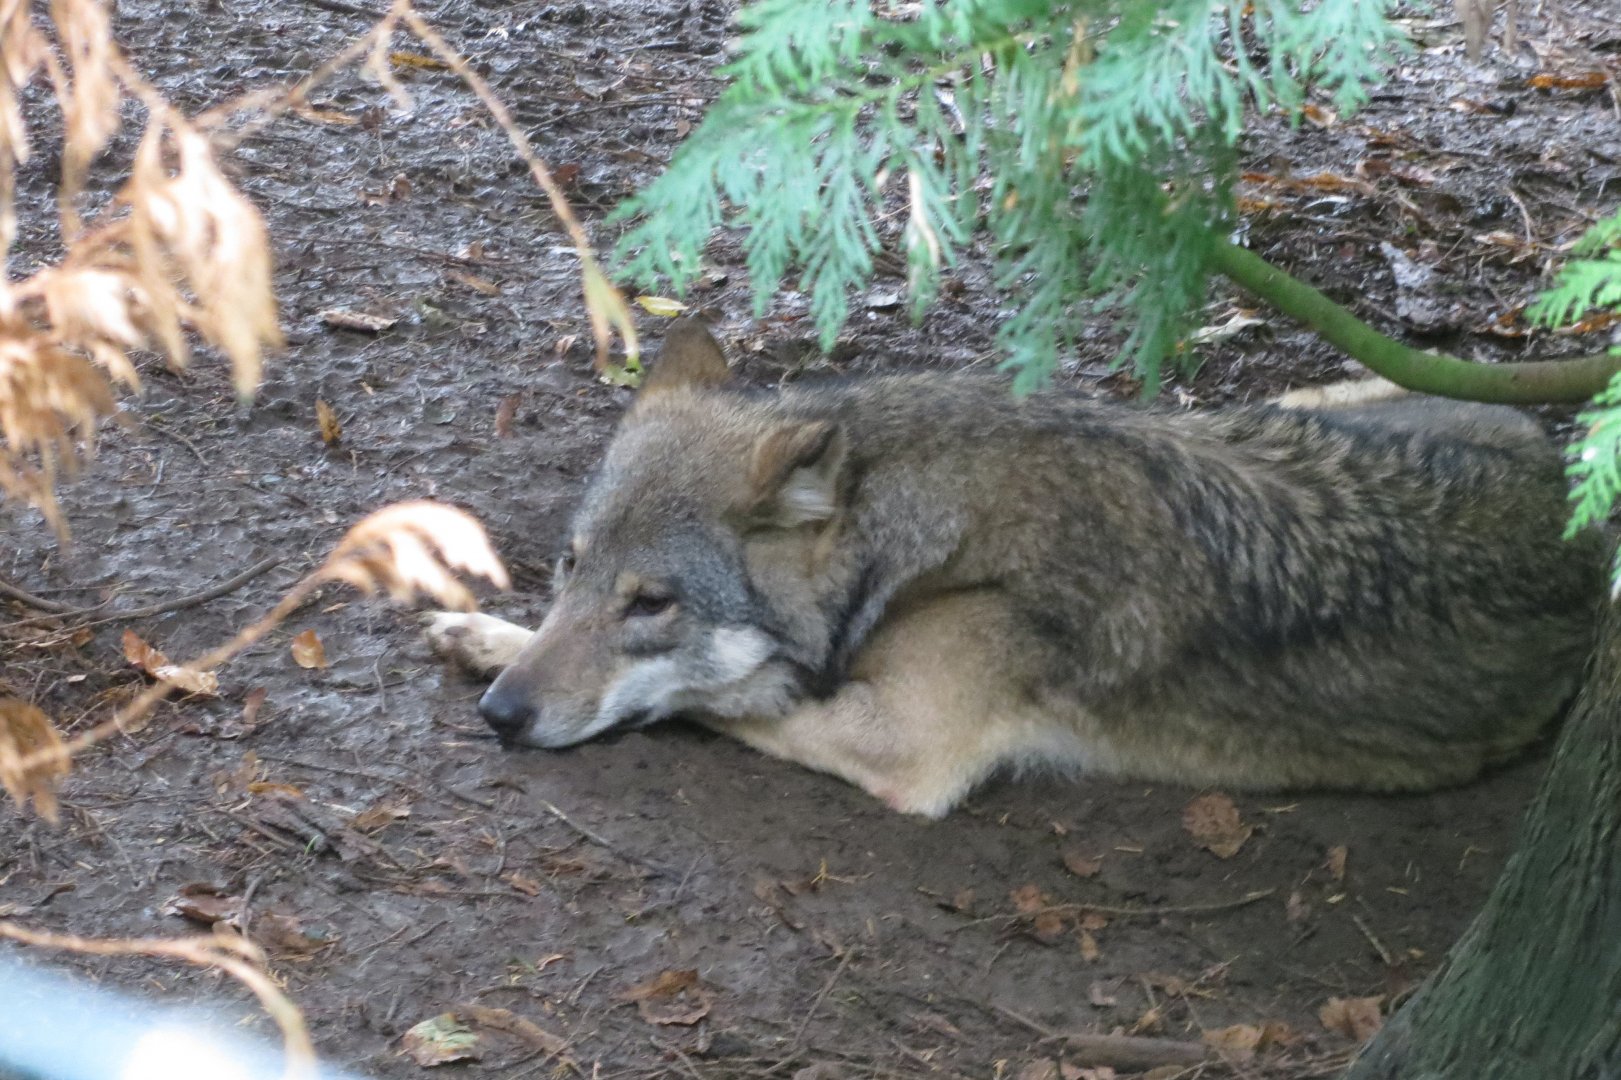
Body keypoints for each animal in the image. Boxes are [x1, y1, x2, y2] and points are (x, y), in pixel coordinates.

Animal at [425, 320, 1605, 818]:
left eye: (652, 604)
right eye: (571, 566)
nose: (502, 717)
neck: (915, 543)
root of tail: (1573, 482)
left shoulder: (900, 747)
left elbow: (718, 696)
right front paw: (484, 633)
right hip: (1281, 406)